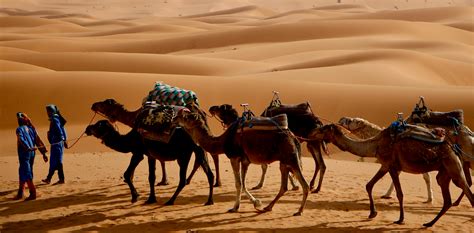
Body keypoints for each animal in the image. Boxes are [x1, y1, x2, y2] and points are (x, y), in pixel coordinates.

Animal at [85, 120, 215, 206]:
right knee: (209, 174)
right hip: (197, 151)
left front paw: (135, 197)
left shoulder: (138, 153)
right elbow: (151, 177)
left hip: (184, 155)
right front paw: (151, 199)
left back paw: (170, 201)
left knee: (183, 180)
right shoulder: (150, 155)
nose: (87, 128)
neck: (129, 139)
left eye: (98, 125)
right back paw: (209, 201)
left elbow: (127, 174)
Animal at [172, 104, 310, 216]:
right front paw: (255, 203)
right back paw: (268, 207)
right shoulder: (245, 161)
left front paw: (235, 207)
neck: (221, 141)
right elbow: (243, 184)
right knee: (284, 187)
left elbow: (238, 184)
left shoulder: (234, 157)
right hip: (284, 161)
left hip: (291, 158)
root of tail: (292, 136)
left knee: (305, 185)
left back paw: (299, 211)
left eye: (186, 117)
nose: (174, 118)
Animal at [312, 124, 474, 228]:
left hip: (454, 166)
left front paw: (400, 219)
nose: (311, 133)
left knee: (467, 191)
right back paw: (429, 223)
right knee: (447, 198)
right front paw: (372, 213)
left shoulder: (392, 167)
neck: (375, 145)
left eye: (323, 129)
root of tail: (453, 147)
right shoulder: (384, 165)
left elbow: (400, 194)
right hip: (444, 173)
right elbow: (369, 185)